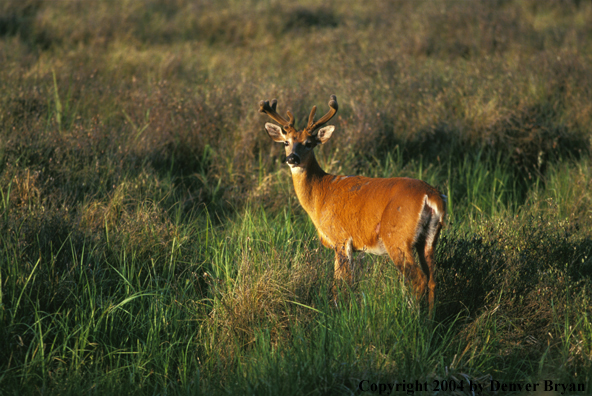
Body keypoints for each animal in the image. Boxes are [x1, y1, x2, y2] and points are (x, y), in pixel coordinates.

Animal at [260, 96, 444, 312]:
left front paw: (337, 312)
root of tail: (431, 196)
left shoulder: (340, 237)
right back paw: (431, 317)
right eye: (286, 142)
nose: (292, 158)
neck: (321, 193)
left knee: (418, 280)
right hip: (429, 239)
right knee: (432, 280)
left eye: (309, 143)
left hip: (397, 237)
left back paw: (413, 315)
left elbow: (339, 283)